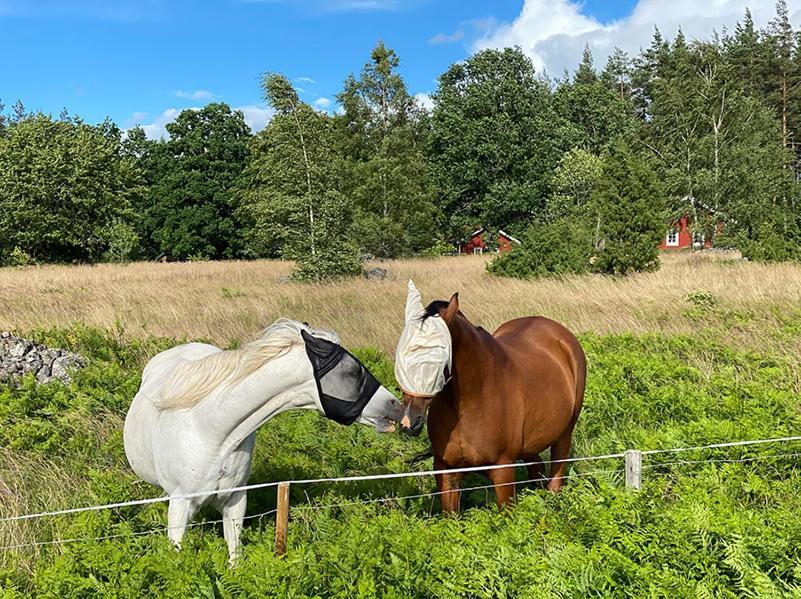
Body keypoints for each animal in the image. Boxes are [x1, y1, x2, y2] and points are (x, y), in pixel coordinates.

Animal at [123, 322, 400, 564]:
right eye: (353, 371)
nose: (396, 406)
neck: (211, 431)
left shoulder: (235, 501)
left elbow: (235, 556)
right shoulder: (180, 506)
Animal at [396, 282, 584, 510]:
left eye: (438, 357)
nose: (409, 422)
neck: (471, 402)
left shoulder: (503, 471)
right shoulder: (447, 473)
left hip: (564, 434)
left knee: (555, 476)